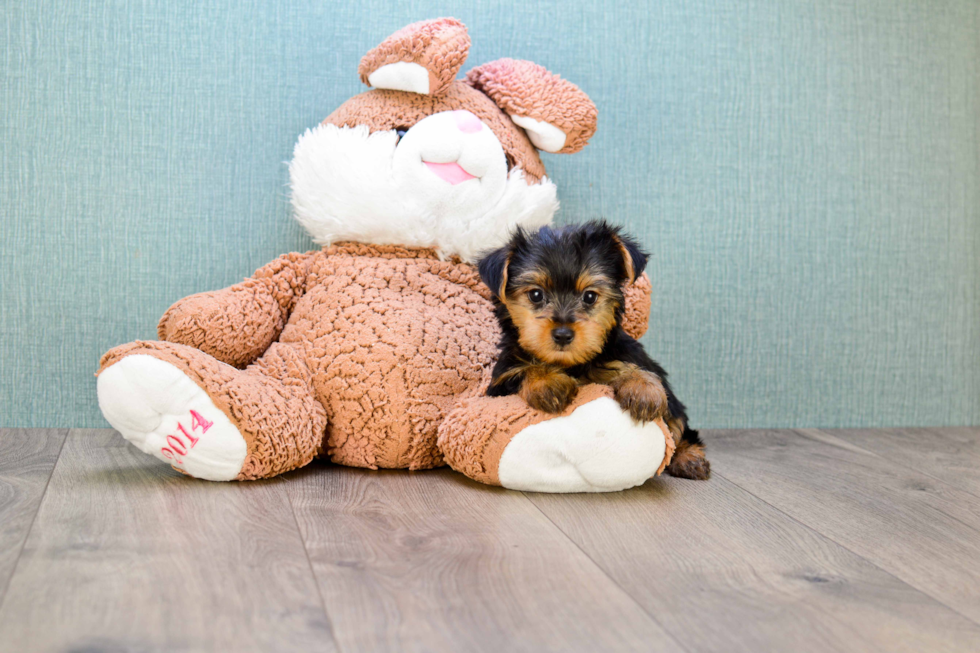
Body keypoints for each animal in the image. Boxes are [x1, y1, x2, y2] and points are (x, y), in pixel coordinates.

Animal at [478, 219, 708, 478]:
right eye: (536, 295)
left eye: (589, 297)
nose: (563, 334)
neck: (572, 364)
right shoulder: (501, 381)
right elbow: (525, 369)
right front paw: (548, 382)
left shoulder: (626, 353)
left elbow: (625, 367)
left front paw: (642, 387)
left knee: (680, 425)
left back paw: (689, 457)